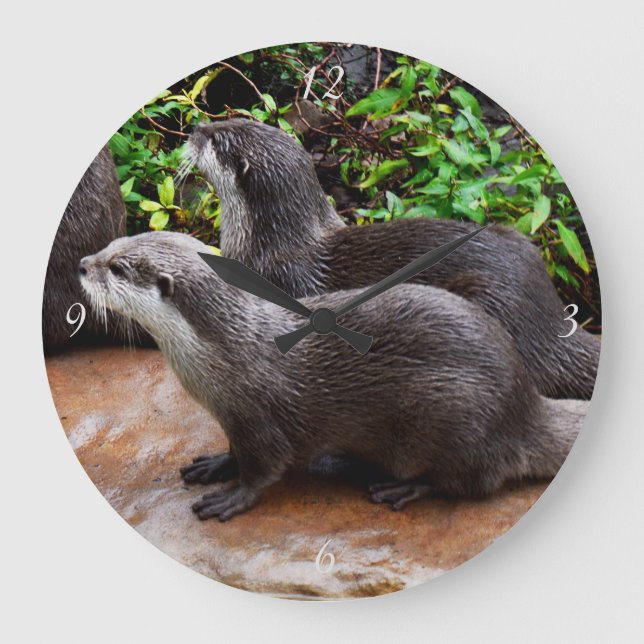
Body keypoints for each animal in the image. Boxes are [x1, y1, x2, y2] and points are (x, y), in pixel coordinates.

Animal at [79, 231, 587, 521]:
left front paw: (232, 497)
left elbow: (264, 468)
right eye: (112, 243)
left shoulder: (258, 416)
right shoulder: (232, 418)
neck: (225, 352)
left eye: (117, 267)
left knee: (468, 482)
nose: (82, 264)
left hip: (455, 417)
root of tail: (525, 407)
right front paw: (215, 465)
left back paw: (401, 488)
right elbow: (233, 451)